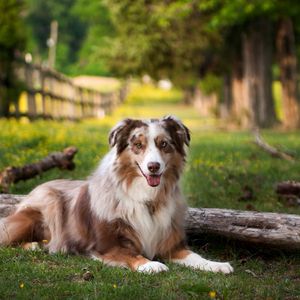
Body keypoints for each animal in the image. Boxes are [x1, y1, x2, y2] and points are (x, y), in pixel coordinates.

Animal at [0, 115, 233, 274]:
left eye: (164, 144)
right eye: (137, 145)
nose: (154, 167)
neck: (147, 198)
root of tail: (38, 188)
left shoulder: (171, 245)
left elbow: (196, 256)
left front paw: (217, 265)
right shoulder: (107, 246)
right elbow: (131, 254)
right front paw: (151, 264)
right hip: (39, 211)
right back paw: (33, 245)